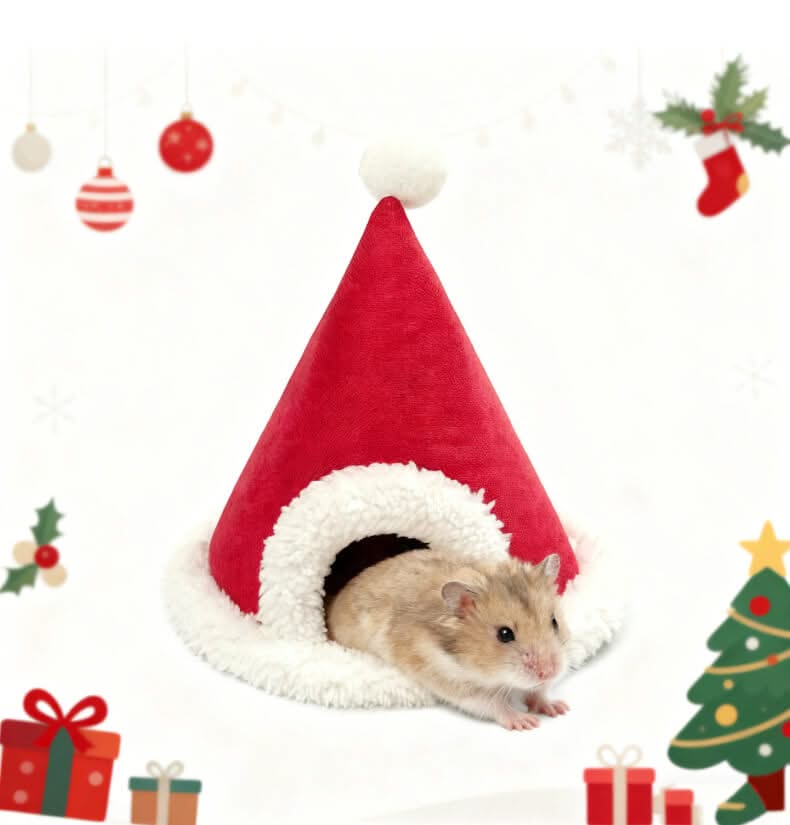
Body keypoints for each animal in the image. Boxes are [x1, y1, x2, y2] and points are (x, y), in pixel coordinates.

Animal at [326, 548, 570, 730]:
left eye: (554, 622)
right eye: (504, 634)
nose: (549, 672)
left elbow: (539, 691)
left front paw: (558, 708)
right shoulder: (448, 678)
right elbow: (492, 703)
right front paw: (526, 722)